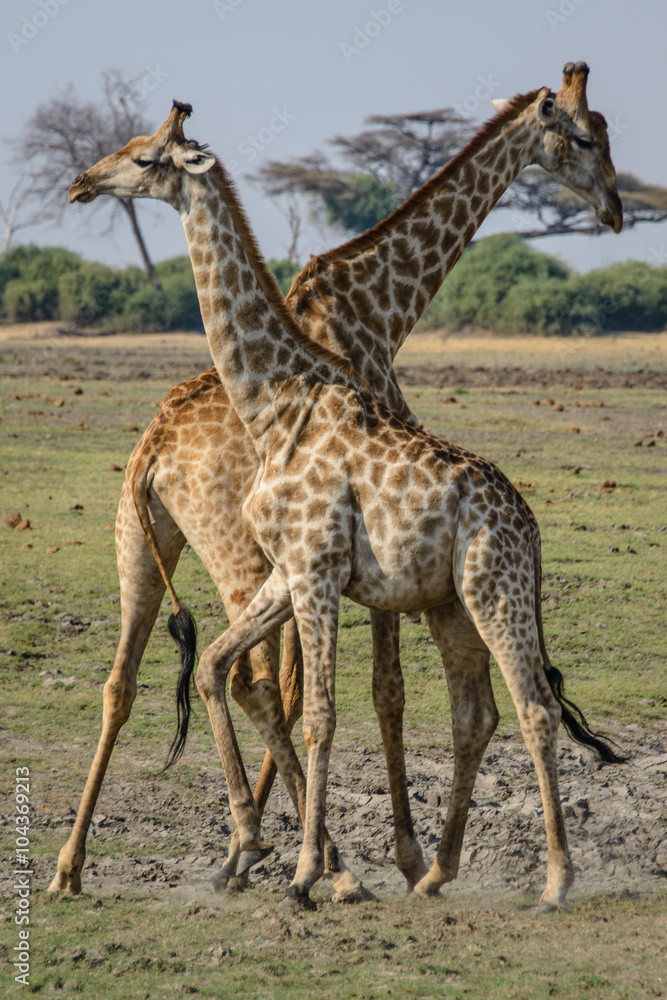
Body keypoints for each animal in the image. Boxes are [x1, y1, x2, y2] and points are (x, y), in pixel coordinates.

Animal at [64, 69, 623, 911]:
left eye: (145, 155)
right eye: (584, 136)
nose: (81, 182)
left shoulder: (321, 571)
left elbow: (336, 704)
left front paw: (308, 864)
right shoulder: (299, 571)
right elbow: (252, 677)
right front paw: (290, 852)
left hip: (471, 588)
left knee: (524, 706)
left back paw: (543, 880)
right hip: (239, 563)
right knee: (471, 709)